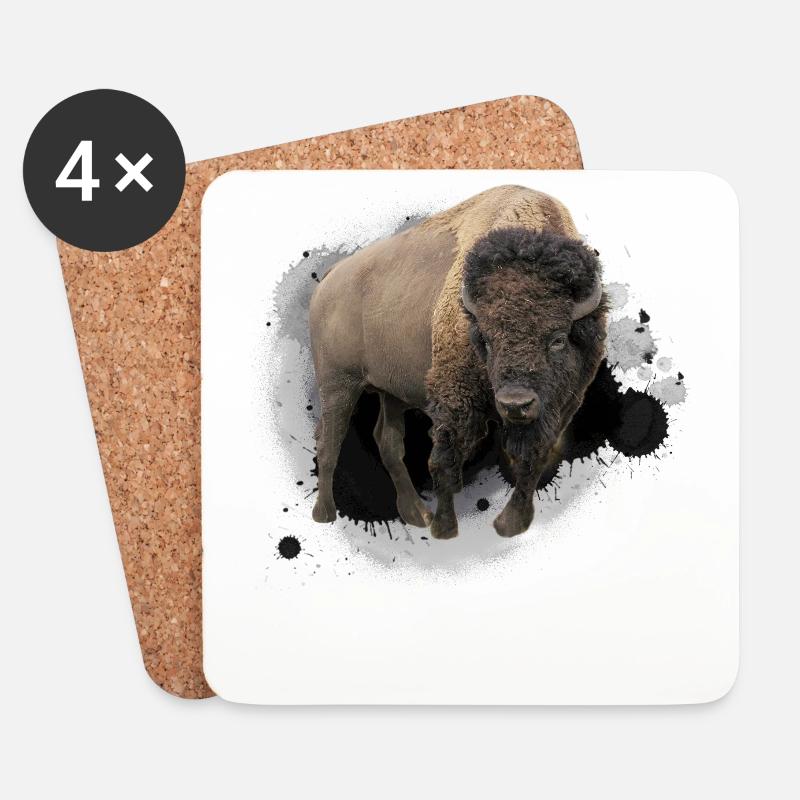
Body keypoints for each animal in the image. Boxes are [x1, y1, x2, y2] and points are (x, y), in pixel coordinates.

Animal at [308, 185, 607, 539]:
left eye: (559, 338)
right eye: (486, 339)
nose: (515, 404)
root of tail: (328, 281)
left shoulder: (560, 408)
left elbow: (531, 459)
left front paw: (511, 525)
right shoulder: (455, 401)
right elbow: (445, 462)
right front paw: (444, 529)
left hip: (389, 392)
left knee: (388, 443)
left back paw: (415, 514)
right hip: (338, 385)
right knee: (329, 442)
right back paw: (324, 514)